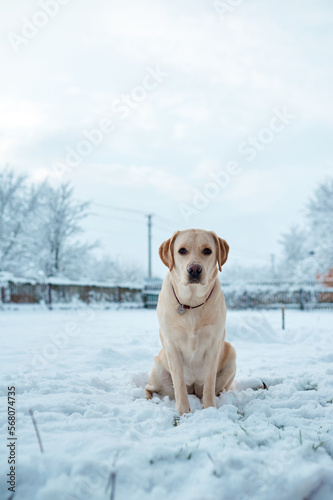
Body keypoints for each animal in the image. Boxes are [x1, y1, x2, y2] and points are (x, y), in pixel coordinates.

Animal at [144, 229, 235, 414]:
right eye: (182, 250)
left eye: (207, 250)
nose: (194, 269)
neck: (191, 303)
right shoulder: (172, 345)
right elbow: (178, 383)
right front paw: (183, 412)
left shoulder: (214, 344)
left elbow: (209, 381)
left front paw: (209, 409)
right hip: (158, 369)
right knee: (149, 389)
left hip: (231, 354)